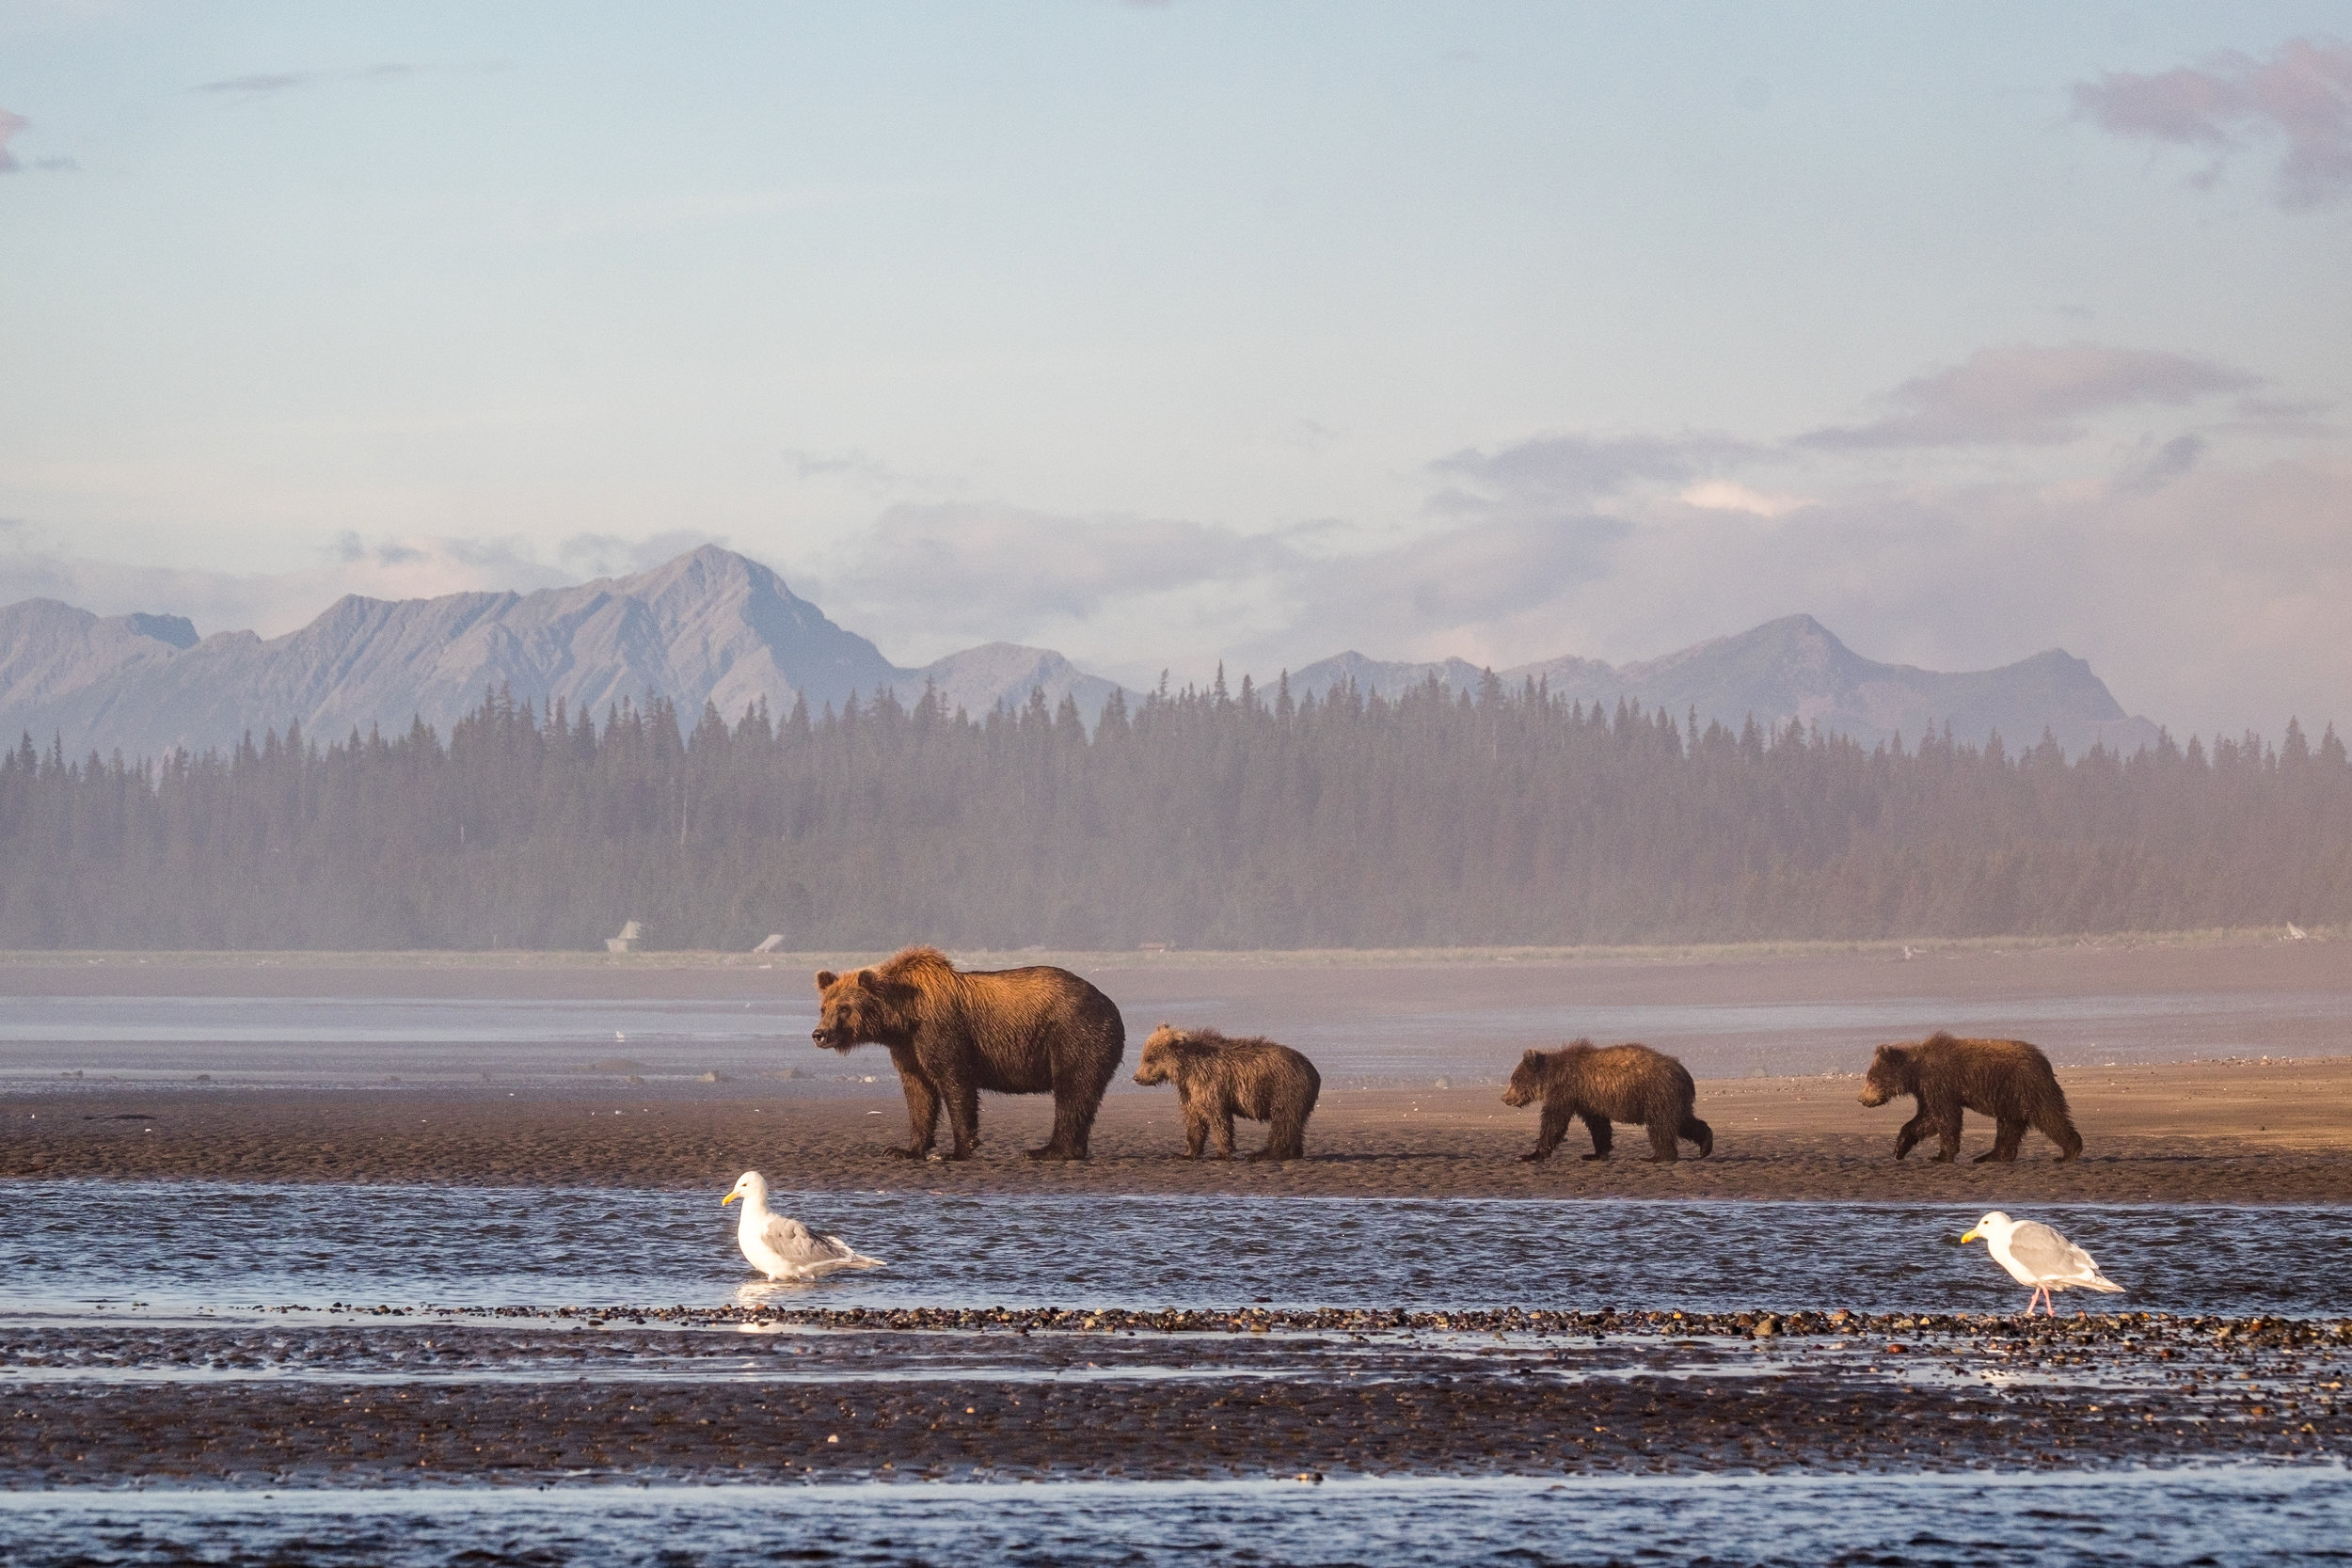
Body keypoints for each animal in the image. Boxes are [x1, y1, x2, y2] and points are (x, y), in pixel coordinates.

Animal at [814, 944, 1124, 1165]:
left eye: (844, 1008)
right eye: (824, 1006)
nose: (820, 1034)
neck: (904, 1017)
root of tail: (1110, 1004)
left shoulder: (941, 1030)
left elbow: (955, 1082)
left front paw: (956, 1150)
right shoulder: (907, 1047)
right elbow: (919, 1093)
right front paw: (903, 1149)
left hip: (1074, 1034)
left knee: (1072, 1090)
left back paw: (1046, 1150)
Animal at [1134, 1024, 1327, 1161]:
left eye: (1150, 1058)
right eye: (1144, 1056)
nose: (1136, 1077)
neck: (1188, 1069)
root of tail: (1314, 1071)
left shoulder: (1211, 1084)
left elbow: (1218, 1118)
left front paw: (1221, 1153)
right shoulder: (1189, 1091)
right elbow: (1194, 1121)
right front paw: (1186, 1153)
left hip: (1284, 1088)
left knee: (1283, 1121)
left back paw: (1264, 1154)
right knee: (1294, 1124)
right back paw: (1293, 1152)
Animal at [1505, 1043, 1712, 1165]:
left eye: (1514, 1080)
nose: (1504, 1098)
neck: (1551, 1077)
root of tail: (1685, 1074)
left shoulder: (1566, 1090)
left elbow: (1554, 1122)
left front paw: (1531, 1154)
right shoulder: (1588, 1098)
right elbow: (1598, 1126)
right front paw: (1595, 1153)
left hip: (1657, 1093)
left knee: (1661, 1126)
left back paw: (1657, 1157)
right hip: (1672, 1099)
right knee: (1681, 1121)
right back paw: (1705, 1146)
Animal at [1853, 1029, 2079, 1165]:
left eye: (1871, 1078)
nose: (1861, 1099)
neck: (1916, 1072)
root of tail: (2044, 1061)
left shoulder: (1941, 1083)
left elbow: (1946, 1118)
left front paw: (1941, 1155)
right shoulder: (1926, 1091)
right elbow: (1926, 1119)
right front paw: (1899, 1149)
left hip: (2027, 1086)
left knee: (2049, 1117)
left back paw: (2069, 1152)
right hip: (2011, 1098)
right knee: (2009, 1126)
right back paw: (1989, 1156)